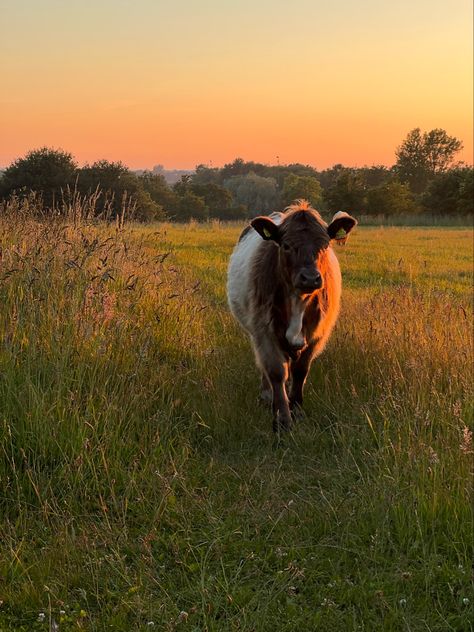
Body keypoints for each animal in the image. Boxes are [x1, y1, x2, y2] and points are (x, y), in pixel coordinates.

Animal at [226, 200, 356, 432]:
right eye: (286, 245)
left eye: (325, 245)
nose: (310, 278)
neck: (298, 301)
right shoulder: (264, 331)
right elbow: (276, 371)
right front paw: (283, 418)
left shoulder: (316, 335)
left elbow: (300, 371)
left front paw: (296, 409)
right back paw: (267, 396)